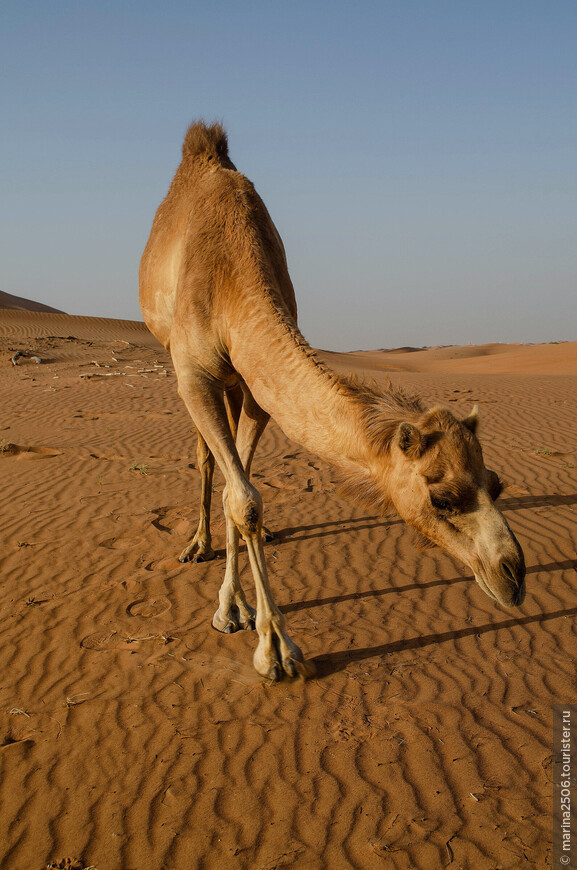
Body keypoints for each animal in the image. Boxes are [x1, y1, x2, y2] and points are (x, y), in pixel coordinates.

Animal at [138, 121, 520, 680]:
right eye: (442, 498)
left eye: (496, 484)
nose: (514, 574)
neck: (232, 277)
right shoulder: (194, 374)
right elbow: (241, 497)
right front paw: (274, 648)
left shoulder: (259, 389)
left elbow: (241, 493)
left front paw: (236, 608)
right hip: (177, 357)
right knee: (207, 458)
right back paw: (197, 546)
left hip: (234, 384)